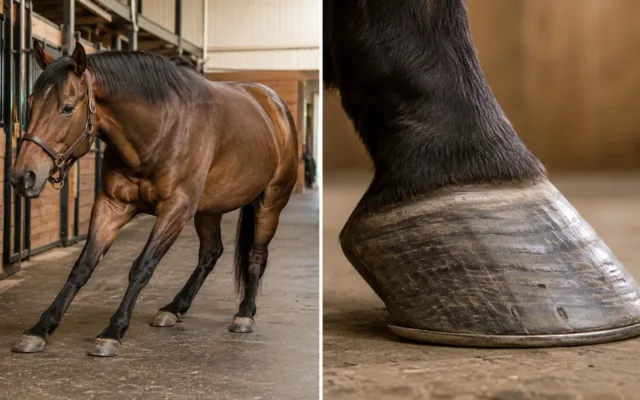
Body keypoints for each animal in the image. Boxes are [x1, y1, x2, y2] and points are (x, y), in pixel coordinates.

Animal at [9, 40, 299, 357]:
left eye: (67, 108)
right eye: (30, 103)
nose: (23, 176)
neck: (161, 129)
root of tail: (275, 106)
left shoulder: (175, 209)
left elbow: (142, 266)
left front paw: (113, 331)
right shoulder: (112, 205)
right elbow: (82, 267)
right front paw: (41, 328)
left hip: (270, 203)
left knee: (256, 255)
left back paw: (245, 314)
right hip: (209, 209)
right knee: (211, 252)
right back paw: (175, 307)